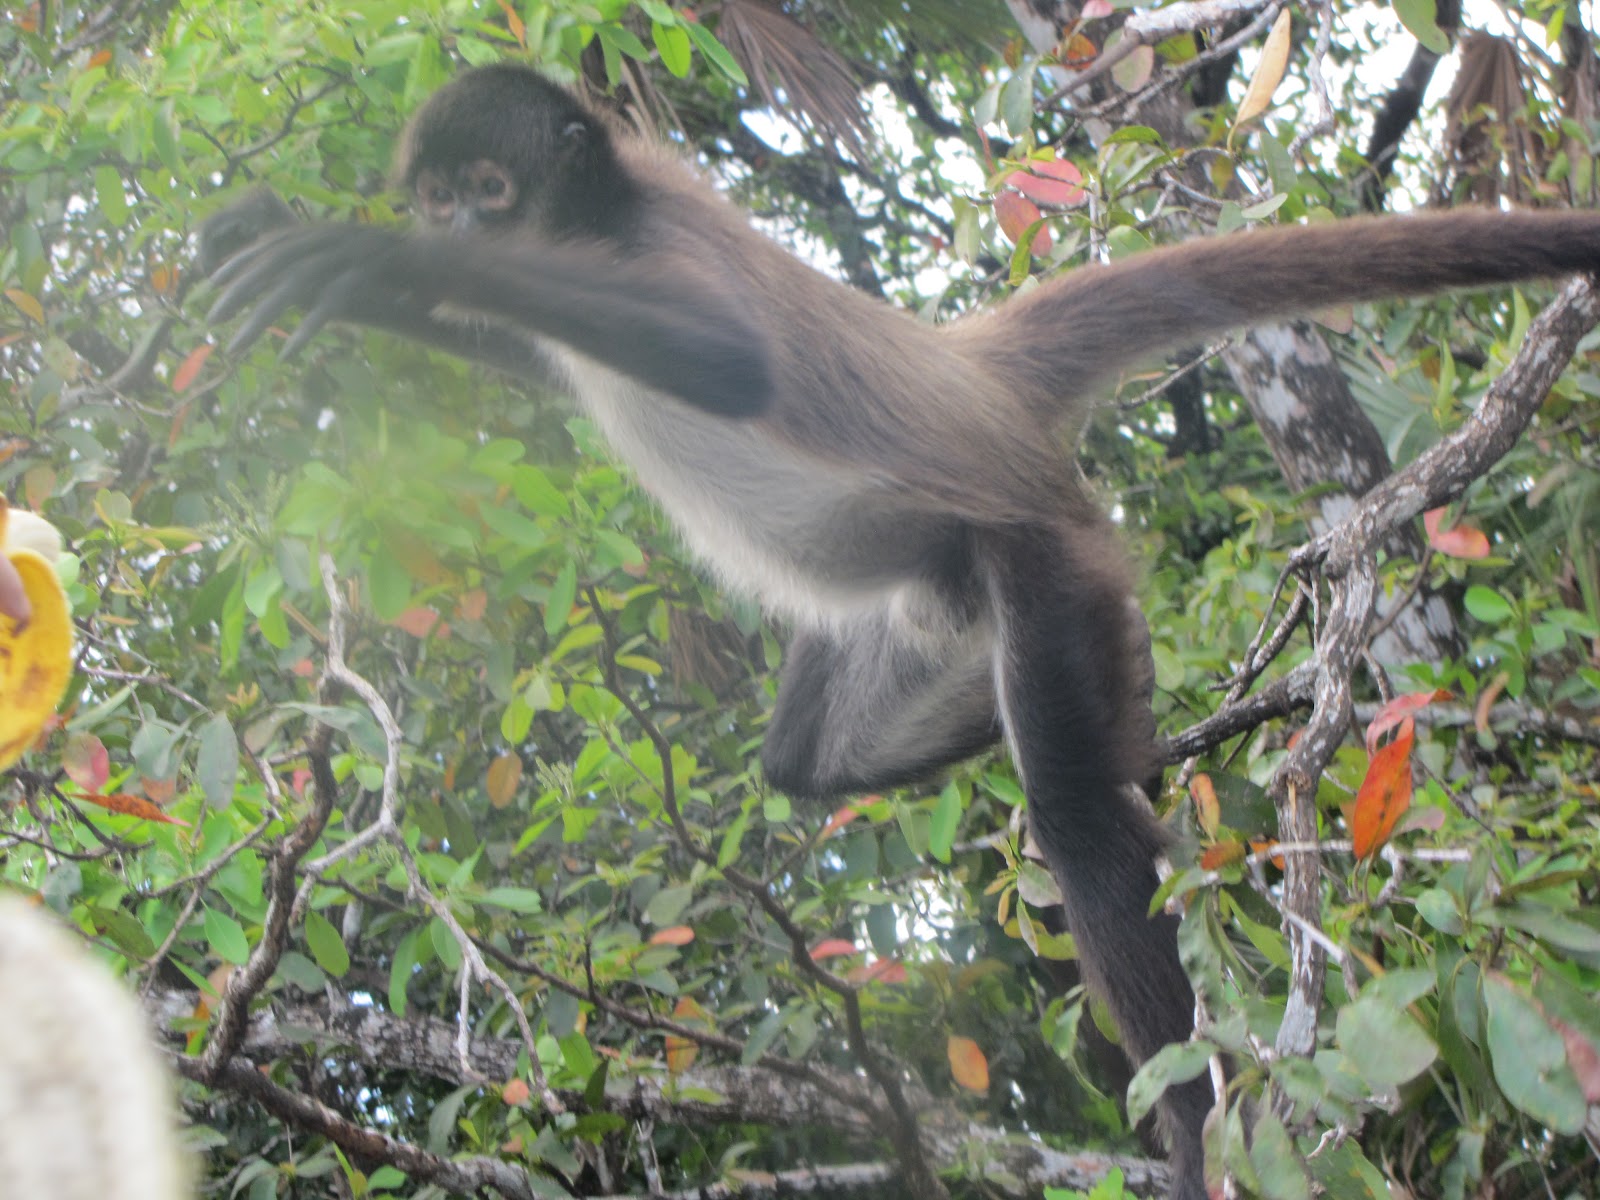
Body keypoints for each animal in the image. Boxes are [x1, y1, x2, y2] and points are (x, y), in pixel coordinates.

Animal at [201, 63, 1600, 1200]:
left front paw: (383, 266)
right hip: (940, 594)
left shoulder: (659, 243)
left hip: (1043, 554)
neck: (596, 222)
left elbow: (729, 363)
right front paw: (312, 245)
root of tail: (974, 372)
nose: (449, 229)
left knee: (1075, 812)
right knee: (829, 759)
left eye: (487, 194)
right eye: (439, 195)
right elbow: (529, 350)